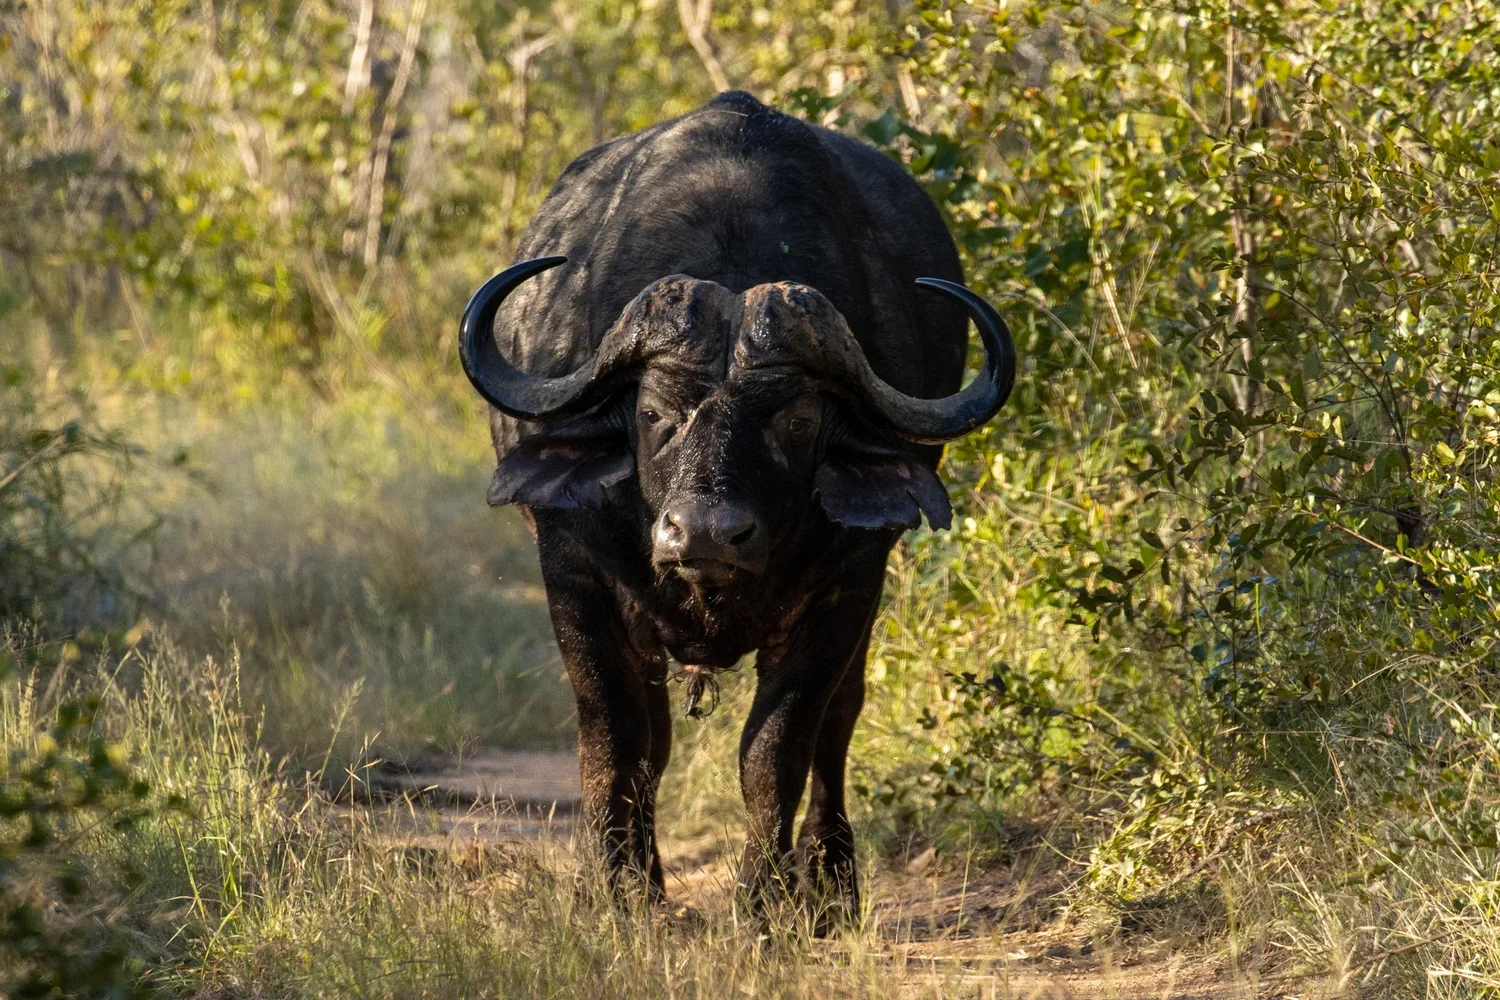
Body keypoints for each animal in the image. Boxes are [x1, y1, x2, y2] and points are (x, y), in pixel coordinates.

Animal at [459, 91, 1015, 918]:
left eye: (796, 420)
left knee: (837, 726)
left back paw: (830, 884)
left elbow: (778, 750)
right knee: (655, 738)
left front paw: (765, 899)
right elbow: (617, 739)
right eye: (654, 412)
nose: (706, 534)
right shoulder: (575, 576)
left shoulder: (847, 588)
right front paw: (614, 890)